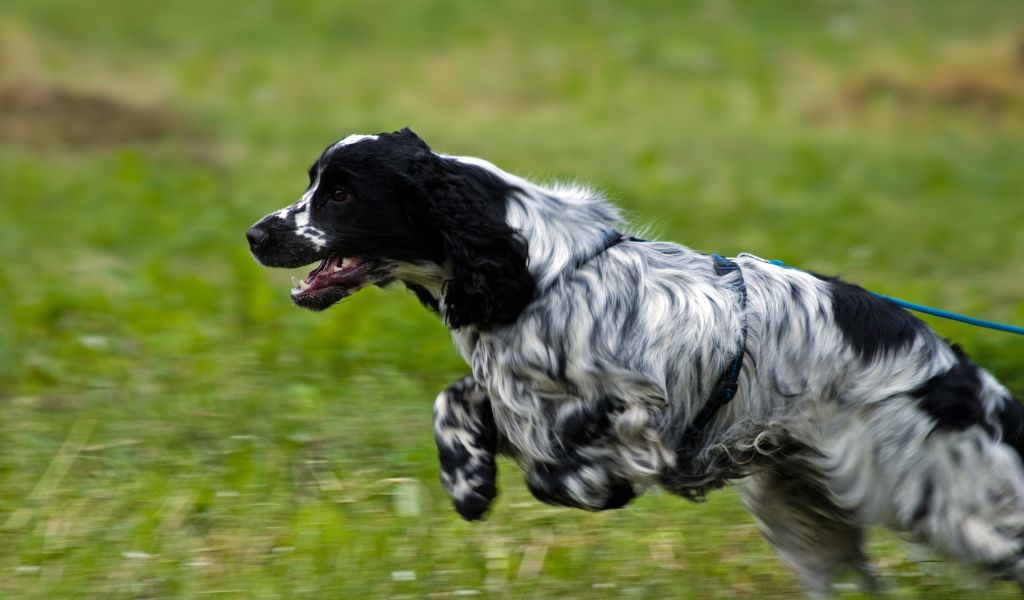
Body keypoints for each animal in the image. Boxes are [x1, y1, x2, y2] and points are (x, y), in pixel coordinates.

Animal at [247, 128, 1024, 589]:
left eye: (341, 192)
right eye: (315, 181)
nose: (255, 234)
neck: (536, 269)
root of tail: (976, 389)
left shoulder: (637, 407)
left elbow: (567, 461)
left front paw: (594, 484)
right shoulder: (516, 391)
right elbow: (461, 400)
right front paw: (468, 481)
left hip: (955, 509)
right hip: (805, 516)